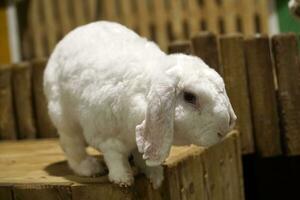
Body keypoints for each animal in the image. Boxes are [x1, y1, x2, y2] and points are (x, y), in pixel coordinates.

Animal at [44, 21, 237, 188]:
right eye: (190, 97)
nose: (225, 128)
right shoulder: (107, 137)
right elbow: (115, 157)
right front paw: (123, 179)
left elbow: (142, 155)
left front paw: (156, 177)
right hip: (64, 118)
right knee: (71, 144)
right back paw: (90, 168)